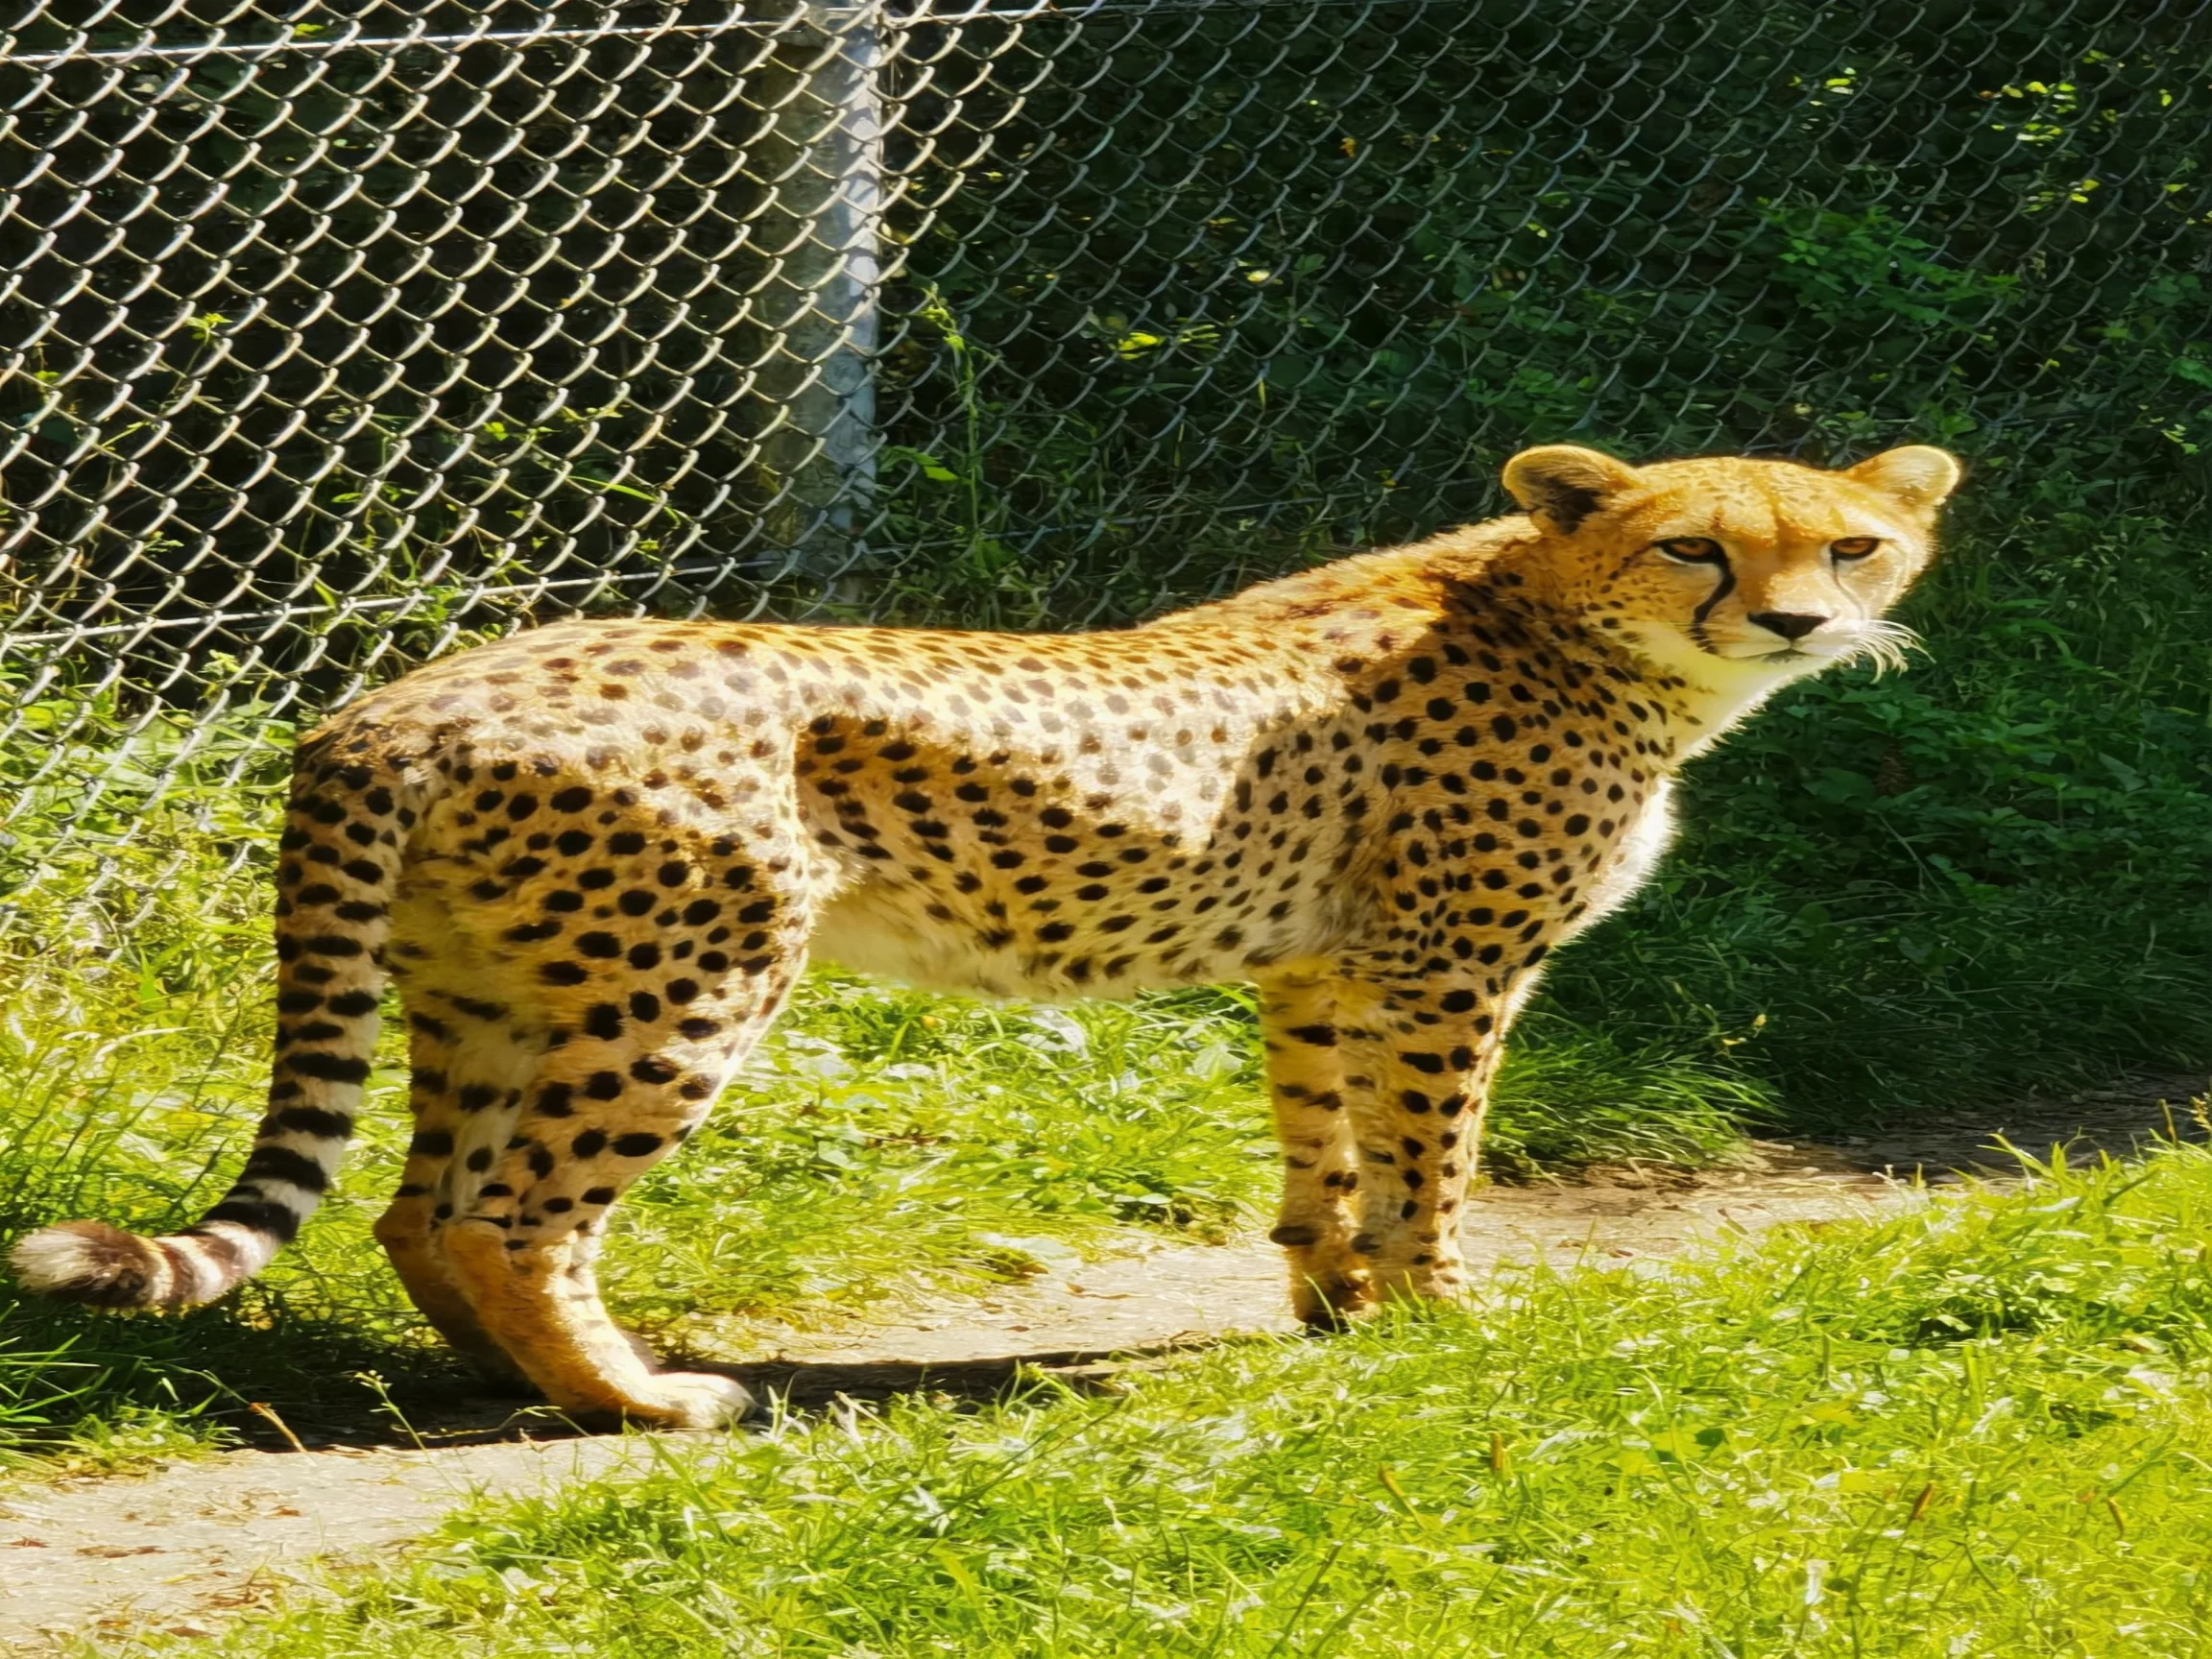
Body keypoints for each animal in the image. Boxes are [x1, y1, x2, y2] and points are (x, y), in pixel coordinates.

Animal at [12, 442, 1961, 1429]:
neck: (1562, 618)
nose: (1798, 621)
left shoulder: (1319, 967)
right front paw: (1439, 1316)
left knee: (422, 1210)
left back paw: (520, 1385)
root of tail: (398, 698)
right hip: (689, 978)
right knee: (513, 1216)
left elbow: (1320, 1148)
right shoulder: (1442, 969)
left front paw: (1335, 1304)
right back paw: (649, 1402)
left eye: (1854, 545)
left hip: (496, 986)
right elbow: (1433, 1157)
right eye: (1695, 545)